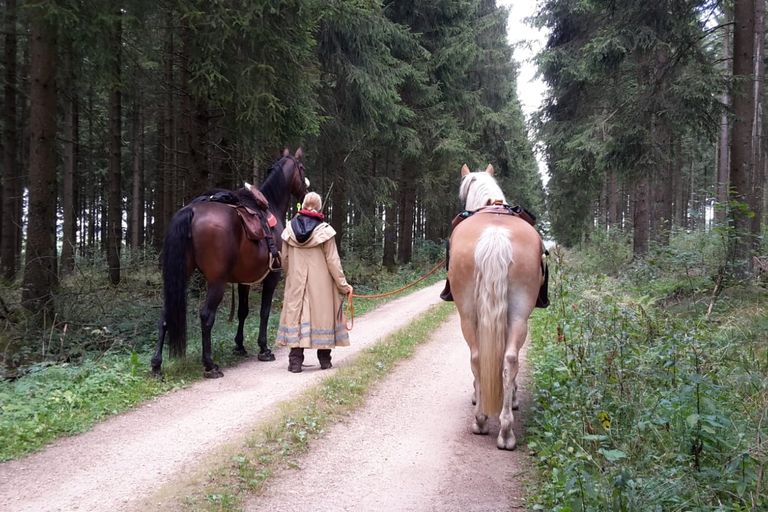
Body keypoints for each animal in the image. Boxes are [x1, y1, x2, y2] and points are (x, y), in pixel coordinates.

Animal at [153, 148, 308, 376]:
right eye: (302, 168)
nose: (306, 192)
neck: (271, 205)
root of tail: (192, 210)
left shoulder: (244, 280)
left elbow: (243, 311)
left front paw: (240, 346)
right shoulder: (272, 275)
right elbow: (264, 312)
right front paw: (264, 348)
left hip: (181, 275)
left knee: (166, 315)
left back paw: (156, 365)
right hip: (217, 281)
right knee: (206, 316)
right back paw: (210, 364)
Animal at [444, 163, 544, 448]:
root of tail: (495, 233)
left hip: (469, 315)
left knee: (483, 358)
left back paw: (485, 421)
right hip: (516, 315)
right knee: (506, 358)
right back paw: (505, 428)